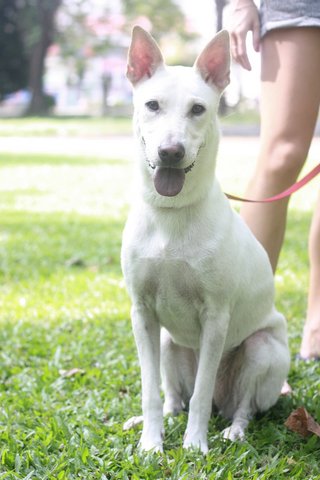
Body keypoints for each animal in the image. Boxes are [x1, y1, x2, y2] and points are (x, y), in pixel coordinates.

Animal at [120, 27, 290, 454]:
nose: (170, 151)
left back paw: (233, 430)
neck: (171, 213)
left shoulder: (216, 317)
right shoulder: (141, 312)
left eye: (198, 109)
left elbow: (201, 390)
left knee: (239, 406)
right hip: (168, 344)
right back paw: (159, 419)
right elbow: (150, 389)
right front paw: (151, 443)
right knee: (173, 398)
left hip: (262, 350)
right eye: (152, 105)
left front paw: (195, 444)